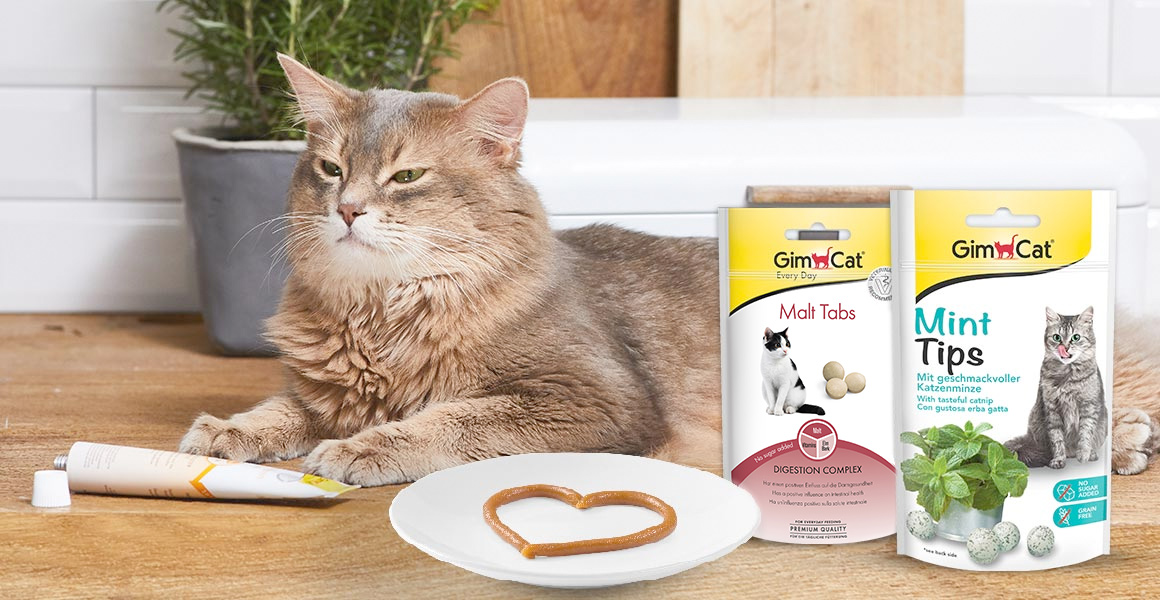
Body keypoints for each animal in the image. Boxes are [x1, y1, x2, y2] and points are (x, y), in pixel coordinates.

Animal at [177, 55, 721, 486]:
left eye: (407, 176)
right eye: (332, 170)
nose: (348, 209)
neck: (383, 312)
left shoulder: (597, 398)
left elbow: (456, 416)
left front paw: (365, 447)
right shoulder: (328, 395)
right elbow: (281, 407)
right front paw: (231, 428)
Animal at [1005, 307, 1108, 469]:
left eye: (1076, 337)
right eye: (1057, 337)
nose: (1064, 348)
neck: (1068, 376)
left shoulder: (1089, 406)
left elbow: (1085, 434)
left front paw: (1084, 454)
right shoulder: (1052, 409)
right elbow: (1057, 439)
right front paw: (1059, 459)